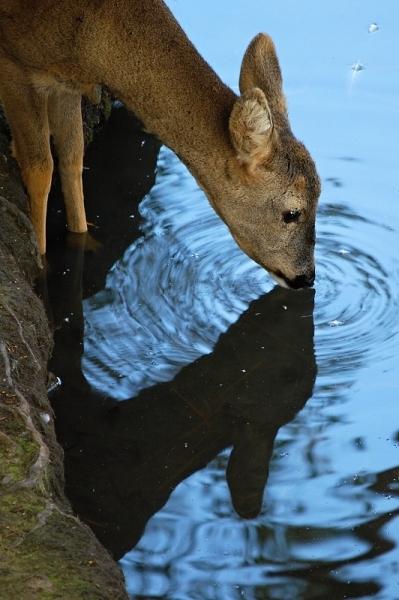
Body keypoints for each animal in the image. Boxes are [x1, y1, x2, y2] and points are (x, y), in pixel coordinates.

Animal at [0, 0, 320, 290]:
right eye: (291, 213)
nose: (306, 277)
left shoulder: (64, 82)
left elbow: (72, 156)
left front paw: (84, 240)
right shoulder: (14, 66)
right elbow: (40, 168)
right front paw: (41, 262)